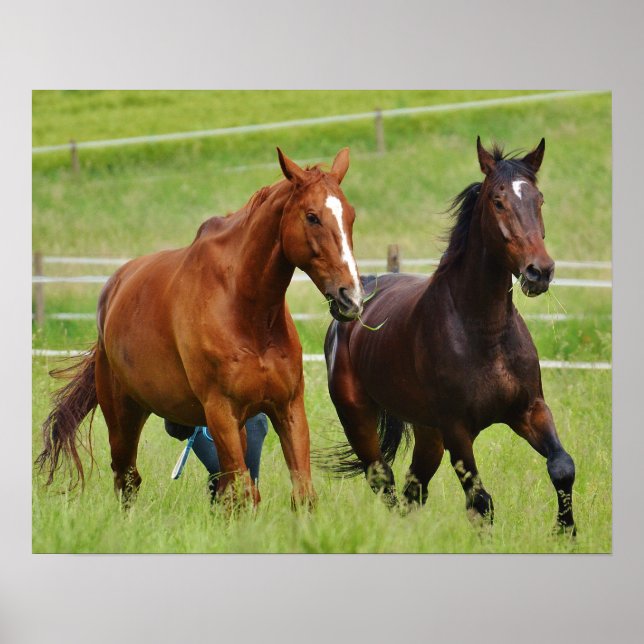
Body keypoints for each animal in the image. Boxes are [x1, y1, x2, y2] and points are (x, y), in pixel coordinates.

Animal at [37, 147, 364, 508]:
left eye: (350, 217)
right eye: (312, 216)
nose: (351, 297)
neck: (247, 312)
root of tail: (112, 291)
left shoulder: (287, 408)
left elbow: (301, 495)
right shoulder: (220, 412)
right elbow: (241, 496)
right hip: (125, 417)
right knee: (128, 480)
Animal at [321, 137, 576, 533]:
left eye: (539, 199)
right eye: (498, 201)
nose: (539, 272)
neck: (484, 332)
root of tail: (350, 305)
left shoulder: (530, 410)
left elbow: (562, 467)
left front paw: (566, 533)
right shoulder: (458, 430)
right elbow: (481, 502)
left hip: (429, 434)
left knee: (413, 489)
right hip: (359, 419)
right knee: (384, 481)